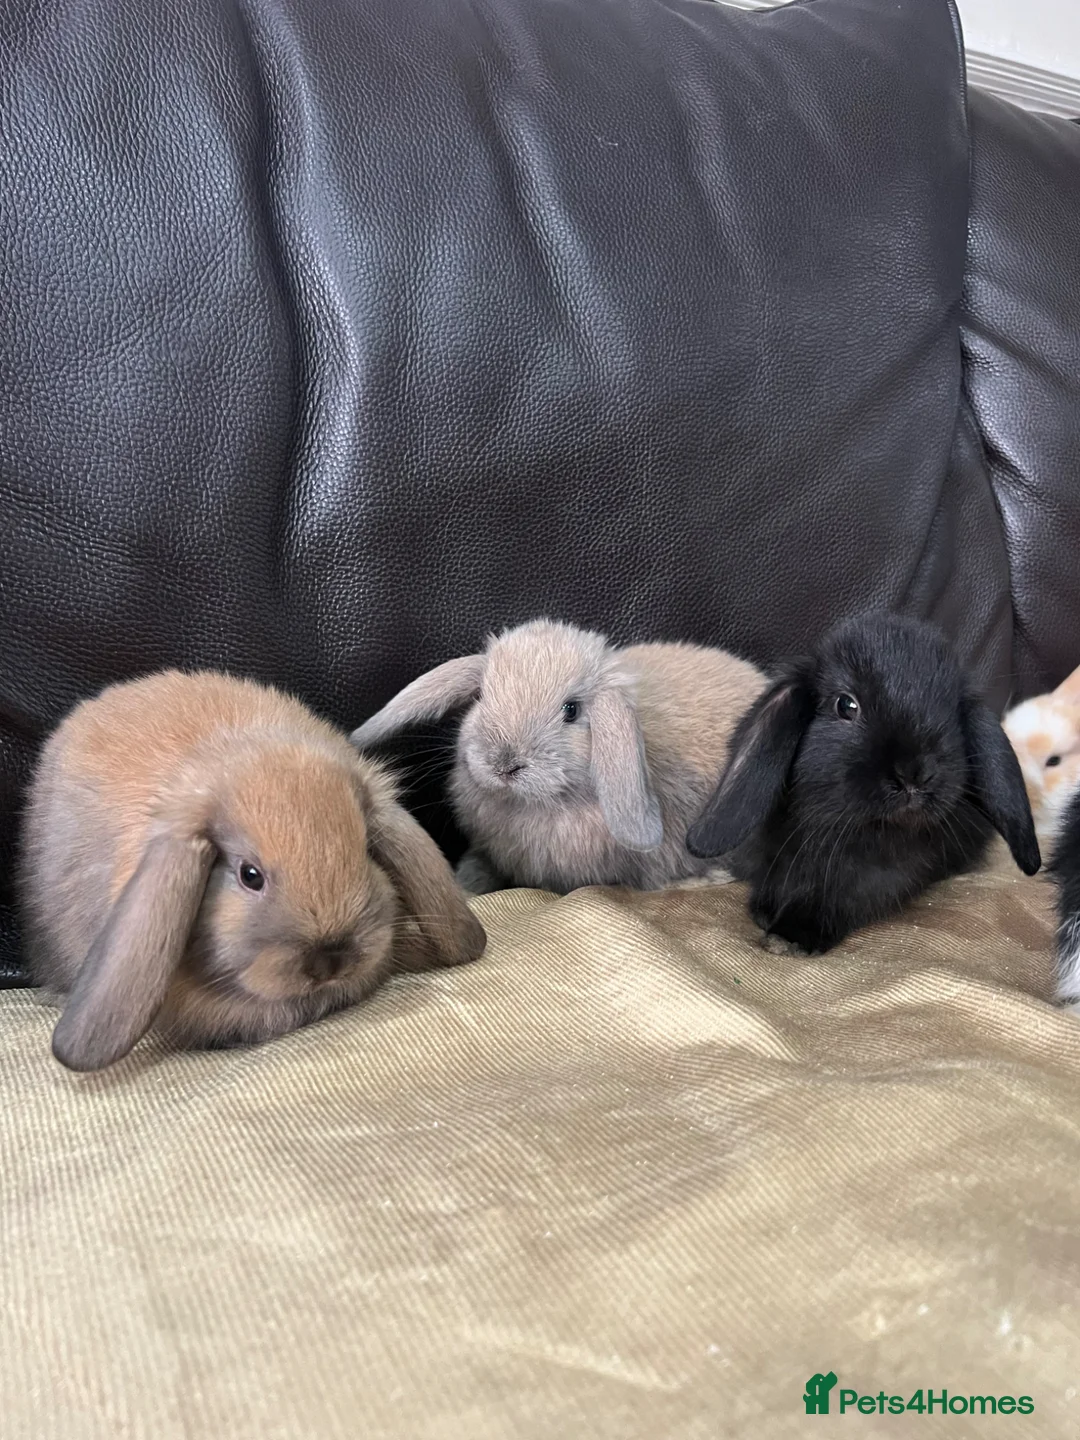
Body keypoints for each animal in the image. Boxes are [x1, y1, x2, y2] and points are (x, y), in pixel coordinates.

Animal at [686, 613, 1041, 955]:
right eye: (846, 705)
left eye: (954, 713)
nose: (914, 775)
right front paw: (764, 911)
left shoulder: (878, 879)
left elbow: (841, 900)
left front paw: (790, 936)